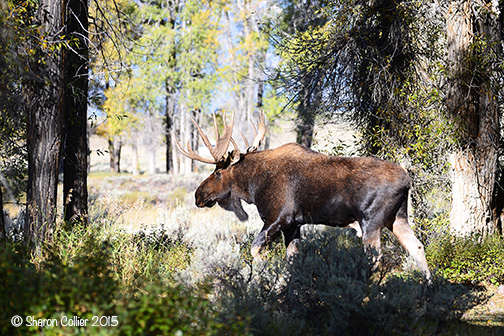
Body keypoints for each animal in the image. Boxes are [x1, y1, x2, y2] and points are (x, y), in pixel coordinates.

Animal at [175, 112, 432, 280]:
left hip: (372, 222)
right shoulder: (294, 226)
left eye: (217, 172)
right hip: (397, 218)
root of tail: (407, 182)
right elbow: (291, 262)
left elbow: (255, 250)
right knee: (418, 248)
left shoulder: (279, 218)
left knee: (377, 261)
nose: (198, 196)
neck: (252, 185)